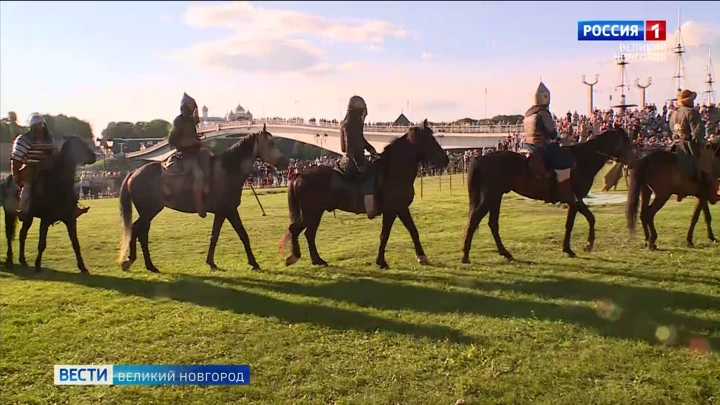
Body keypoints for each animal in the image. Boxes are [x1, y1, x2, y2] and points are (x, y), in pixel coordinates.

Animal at [2, 136, 97, 272]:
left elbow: (75, 243)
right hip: (9, 214)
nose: (94, 156)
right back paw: (9, 260)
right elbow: (42, 243)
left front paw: (82, 267)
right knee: (9, 235)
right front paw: (37, 265)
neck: (58, 186)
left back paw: (22, 260)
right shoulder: (45, 220)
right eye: (79, 144)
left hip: (28, 218)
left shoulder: (70, 220)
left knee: (22, 234)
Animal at [117, 125, 286, 272]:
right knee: (139, 231)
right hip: (149, 211)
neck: (227, 170)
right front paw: (251, 263)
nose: (284, 162)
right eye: (270, 143)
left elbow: (230, 235)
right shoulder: (226, 211)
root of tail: (133, 173)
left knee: (138, 231)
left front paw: (245, 262)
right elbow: (228, 235)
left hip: (149, 212)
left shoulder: (227, 211)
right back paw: (140, 262)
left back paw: (143, 264)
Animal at [278, 118, 448, 266]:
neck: (392, 171)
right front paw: (383, 261)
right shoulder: (394, 210)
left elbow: (410, 231)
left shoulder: (399, 209)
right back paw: (295, 257)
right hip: (311, 212)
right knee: (297, 230)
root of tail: (299, 174)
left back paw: (317, 260)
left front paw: (419, 256)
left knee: (308, 233)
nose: (445, 159)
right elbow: (389, 234)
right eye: (429, 139)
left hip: (315, 212)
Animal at [464, 129, 632, 262]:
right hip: (491, 196)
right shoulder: (575, 199)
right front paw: (583, 246)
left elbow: (578, 221)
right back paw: (466, 255)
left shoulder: (575, 200)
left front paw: (574, 248)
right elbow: (582, 220)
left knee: (492, 223)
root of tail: (481, 158)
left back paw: (505, 253)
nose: (632, 161)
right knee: (475, 219)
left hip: (495, 197)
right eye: (626, 142)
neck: (582, 159)